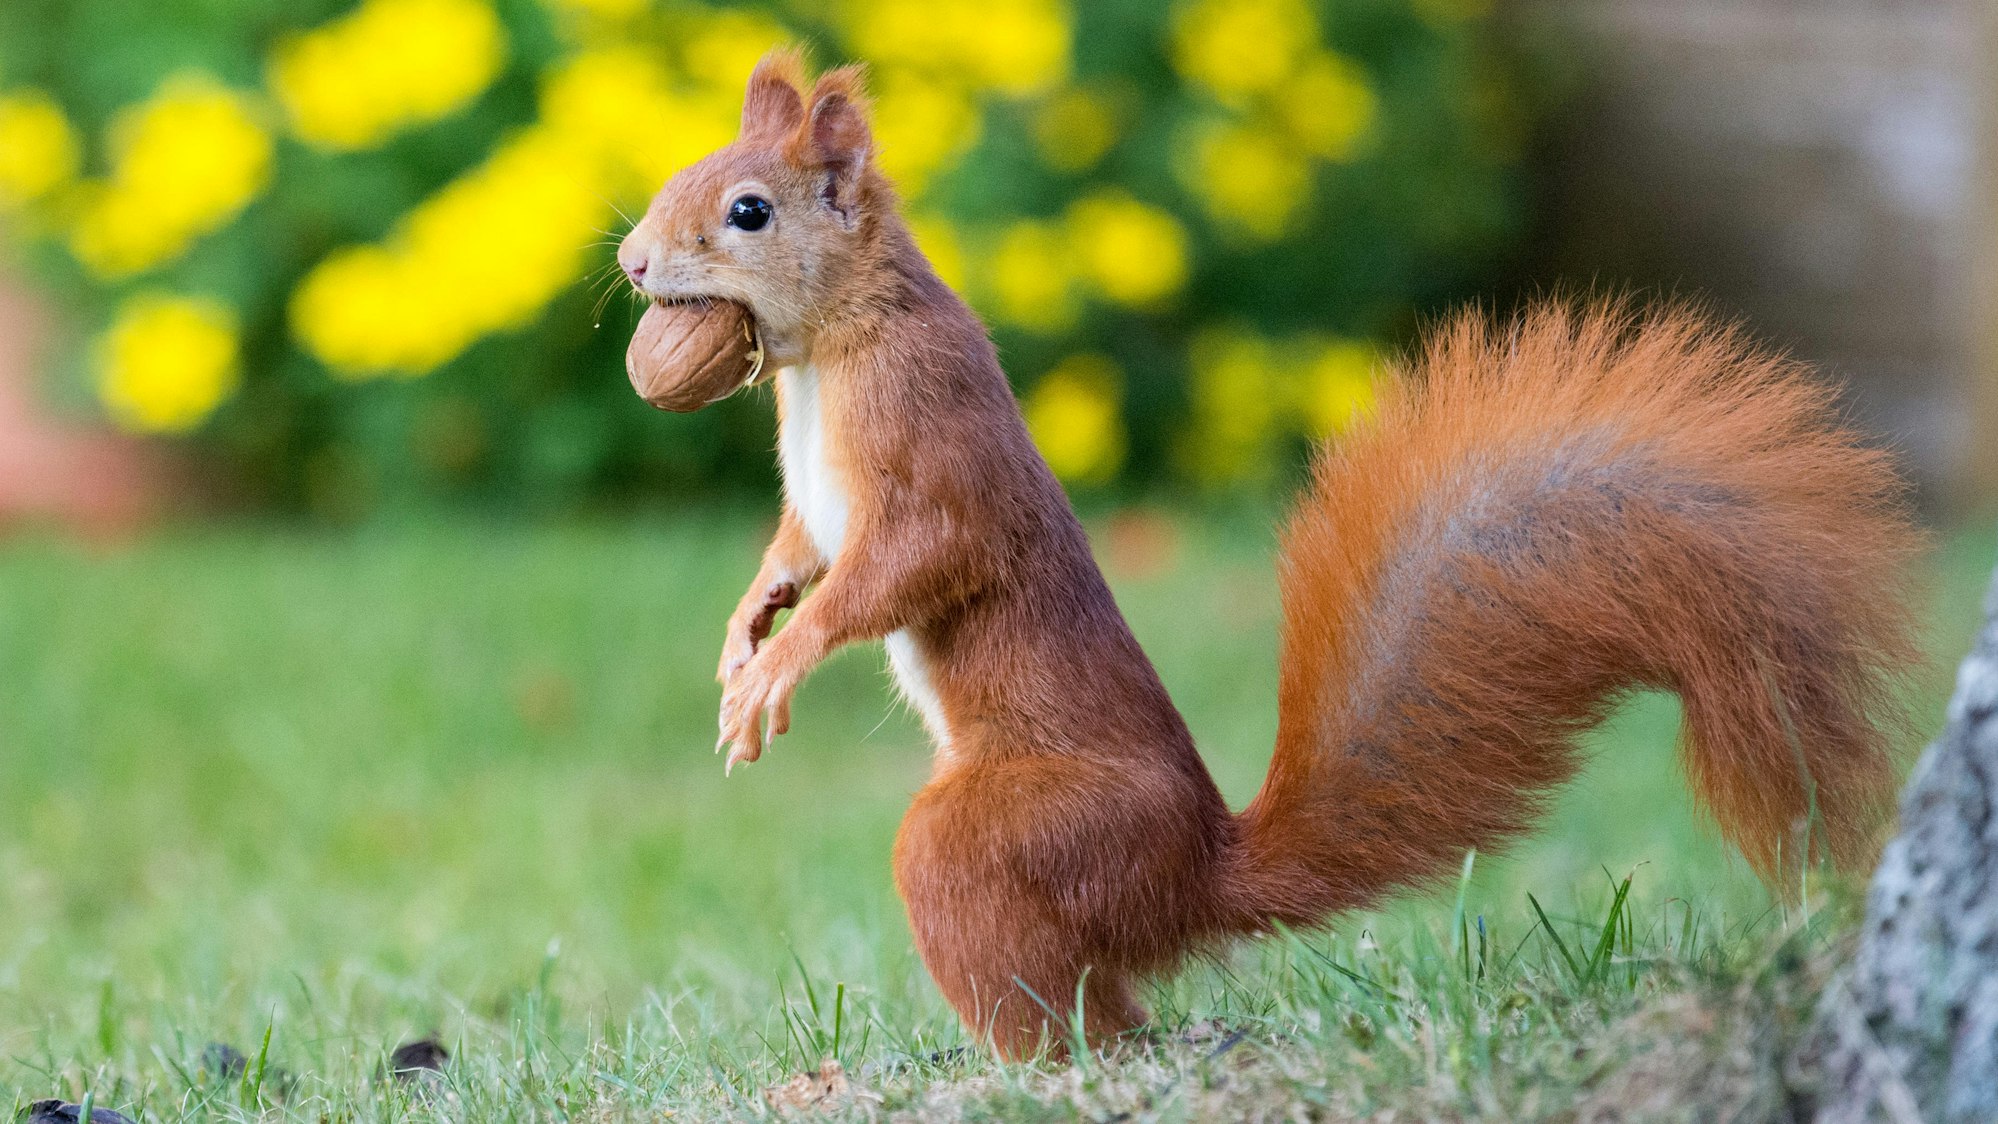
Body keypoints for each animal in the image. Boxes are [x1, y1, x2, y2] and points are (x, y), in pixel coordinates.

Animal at [615, 50, 1925, 1059]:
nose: (629, 262)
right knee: (1109, 999)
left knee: (1069, 998)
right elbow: (798, 548)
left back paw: (1023, 1062)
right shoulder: (815, 501)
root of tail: (1195, 874)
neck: (828, 356)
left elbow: (909, 564)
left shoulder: (929, 439)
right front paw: (748, 624)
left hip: (1018, 835)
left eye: (747, 211)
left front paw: (780, 669)